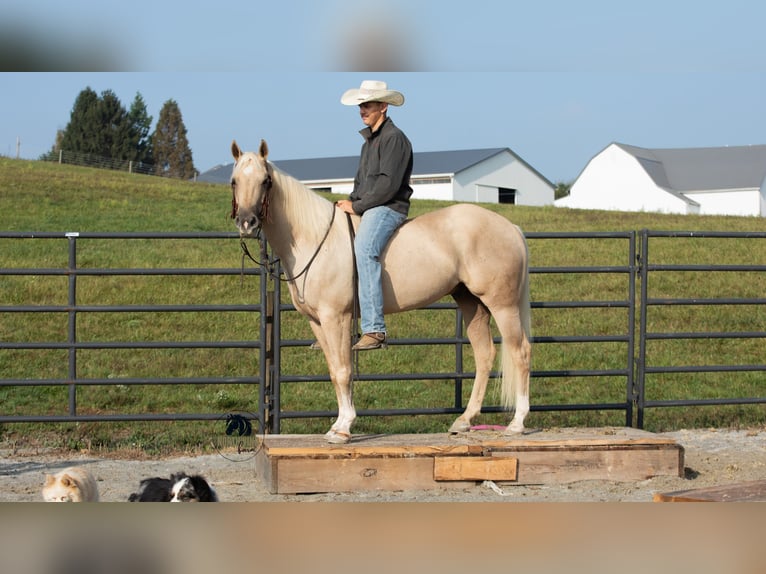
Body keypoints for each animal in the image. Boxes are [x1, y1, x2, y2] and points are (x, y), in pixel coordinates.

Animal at [229, 139, 532, 444]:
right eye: (234, 181)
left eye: (265, 181)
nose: (246, 222)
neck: (314, 238)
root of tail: (511, 228)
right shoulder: (317, 321)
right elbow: (334, 370)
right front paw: (338, 424)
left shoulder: (336, 318)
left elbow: (343, 370)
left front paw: (343, 428)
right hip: (471, 303)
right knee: (484, 355)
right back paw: (465, 420)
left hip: (503, 305)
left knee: (520, 351)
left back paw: (517, 423)